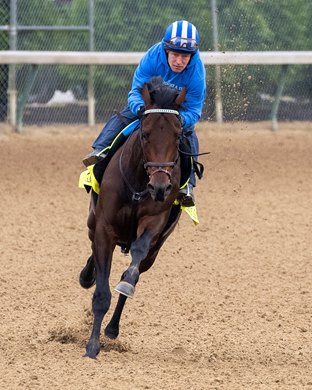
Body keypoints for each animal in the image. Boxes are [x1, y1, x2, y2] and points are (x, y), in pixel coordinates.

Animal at [80, 77, 186, 360]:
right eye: (145, 133)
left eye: (178, 134)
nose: (160, 186)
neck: (138, 184)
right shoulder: (104, 228)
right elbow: (101, 294)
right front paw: (92, 347)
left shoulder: (154, 222)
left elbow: (134, 262)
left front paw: (126, 282)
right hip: (93, 224)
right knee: (92, 254)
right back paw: (86, 276)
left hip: (155, 251)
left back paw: (113, 327)